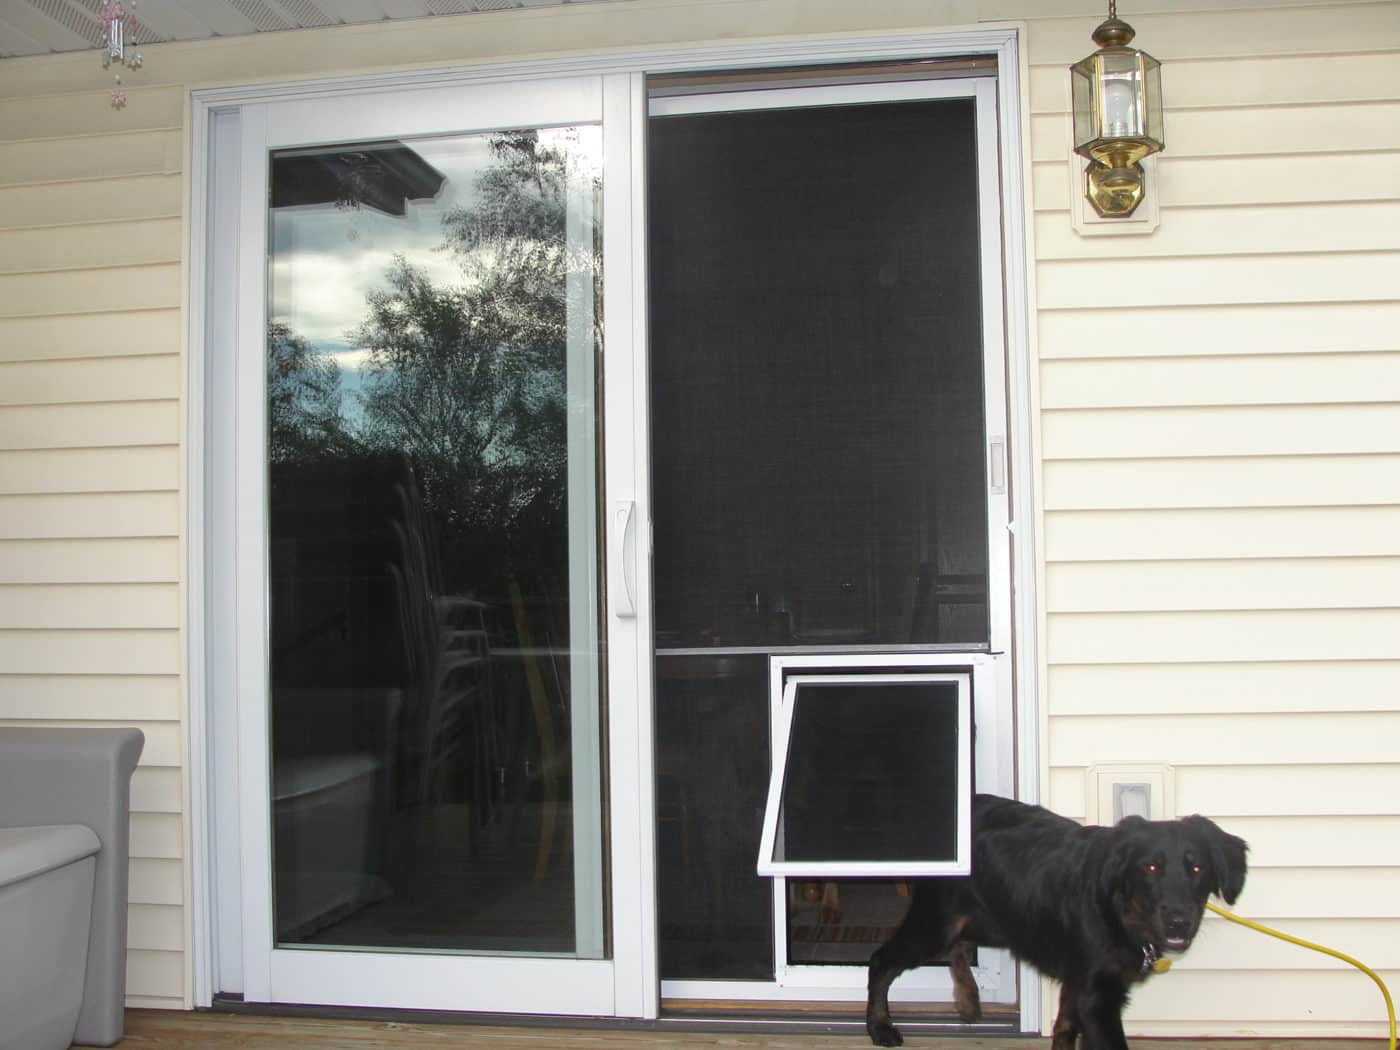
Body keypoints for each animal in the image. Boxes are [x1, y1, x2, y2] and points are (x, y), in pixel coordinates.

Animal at [862, 795, 1248, 1050]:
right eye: (1150, 867)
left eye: (1197, 868)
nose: (1178, 923)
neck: (1120, 911)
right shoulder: (1097, 996)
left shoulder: (1080, 981)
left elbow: (1064, 1028)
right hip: (937, 922)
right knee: (881, 961)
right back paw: (880, 1026)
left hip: (990, 918)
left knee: (958, 945)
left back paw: (968, 996)